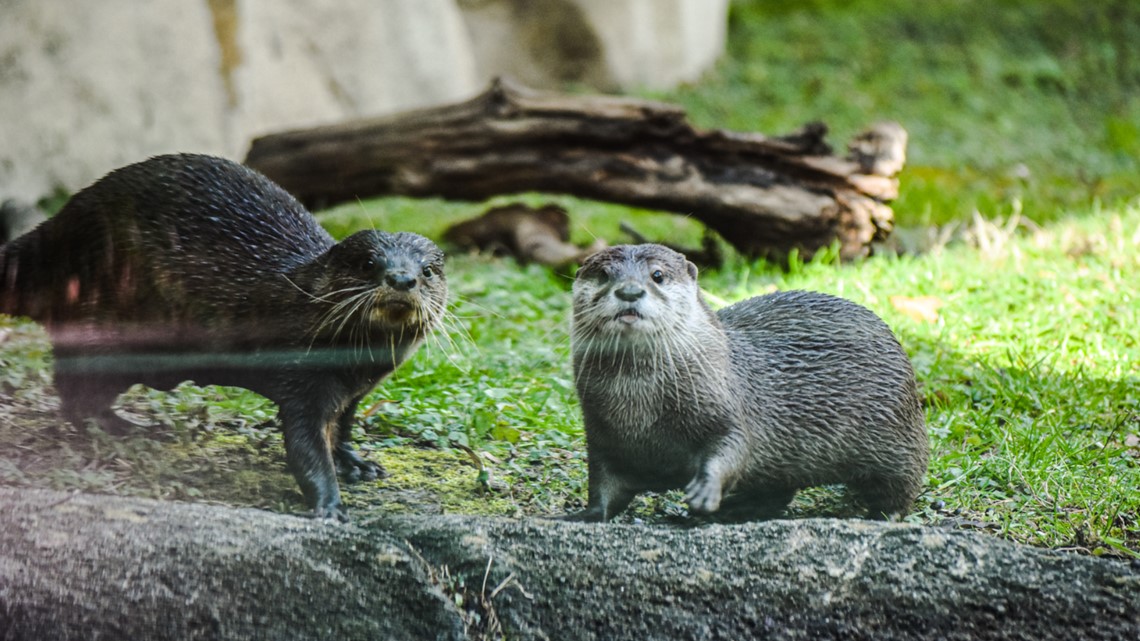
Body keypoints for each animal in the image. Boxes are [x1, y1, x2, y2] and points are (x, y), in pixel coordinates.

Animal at [0, 154, 447, 521]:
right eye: (368, 263)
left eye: (427, 270)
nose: (402, 279)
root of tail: (55, 233)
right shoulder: (302, 379)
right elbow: (306, 447)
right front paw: (329, 505)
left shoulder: (355, 392)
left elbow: (342, 428)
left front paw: (356, 463)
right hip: (103, 319)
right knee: (75, 391)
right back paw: (130, 429)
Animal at [567, 244, 927, 521]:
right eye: (603, 275)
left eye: (657, 275)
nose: (629, 291)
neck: (640, 410)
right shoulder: (602, 437)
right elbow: (604, 486)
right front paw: (584, 515)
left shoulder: (730, 407)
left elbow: (734, 447)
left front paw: (705, 491)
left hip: (895, 434)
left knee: (903, 484)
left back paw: (882, 516)